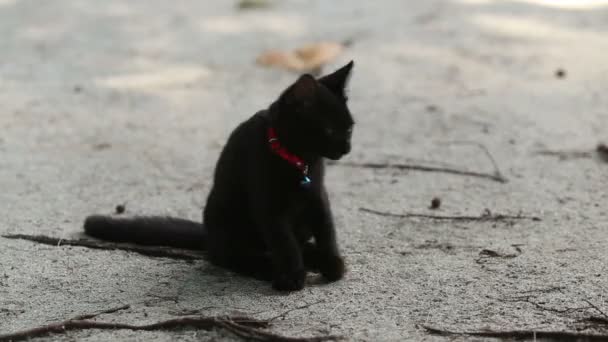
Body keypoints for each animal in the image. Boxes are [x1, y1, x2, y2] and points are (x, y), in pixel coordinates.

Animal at [83, 60, 354, 292]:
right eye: (329, 130)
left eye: (350, 128)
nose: (346, 148)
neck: (299, 160)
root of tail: (208, 234)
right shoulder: (269, 204)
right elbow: (284, 242)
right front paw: (292, 277)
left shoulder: (318, 196)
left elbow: (327, 230)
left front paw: (331, 263)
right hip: (228, 219)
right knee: (233, 256)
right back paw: (268, 267)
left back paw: (313, 257)